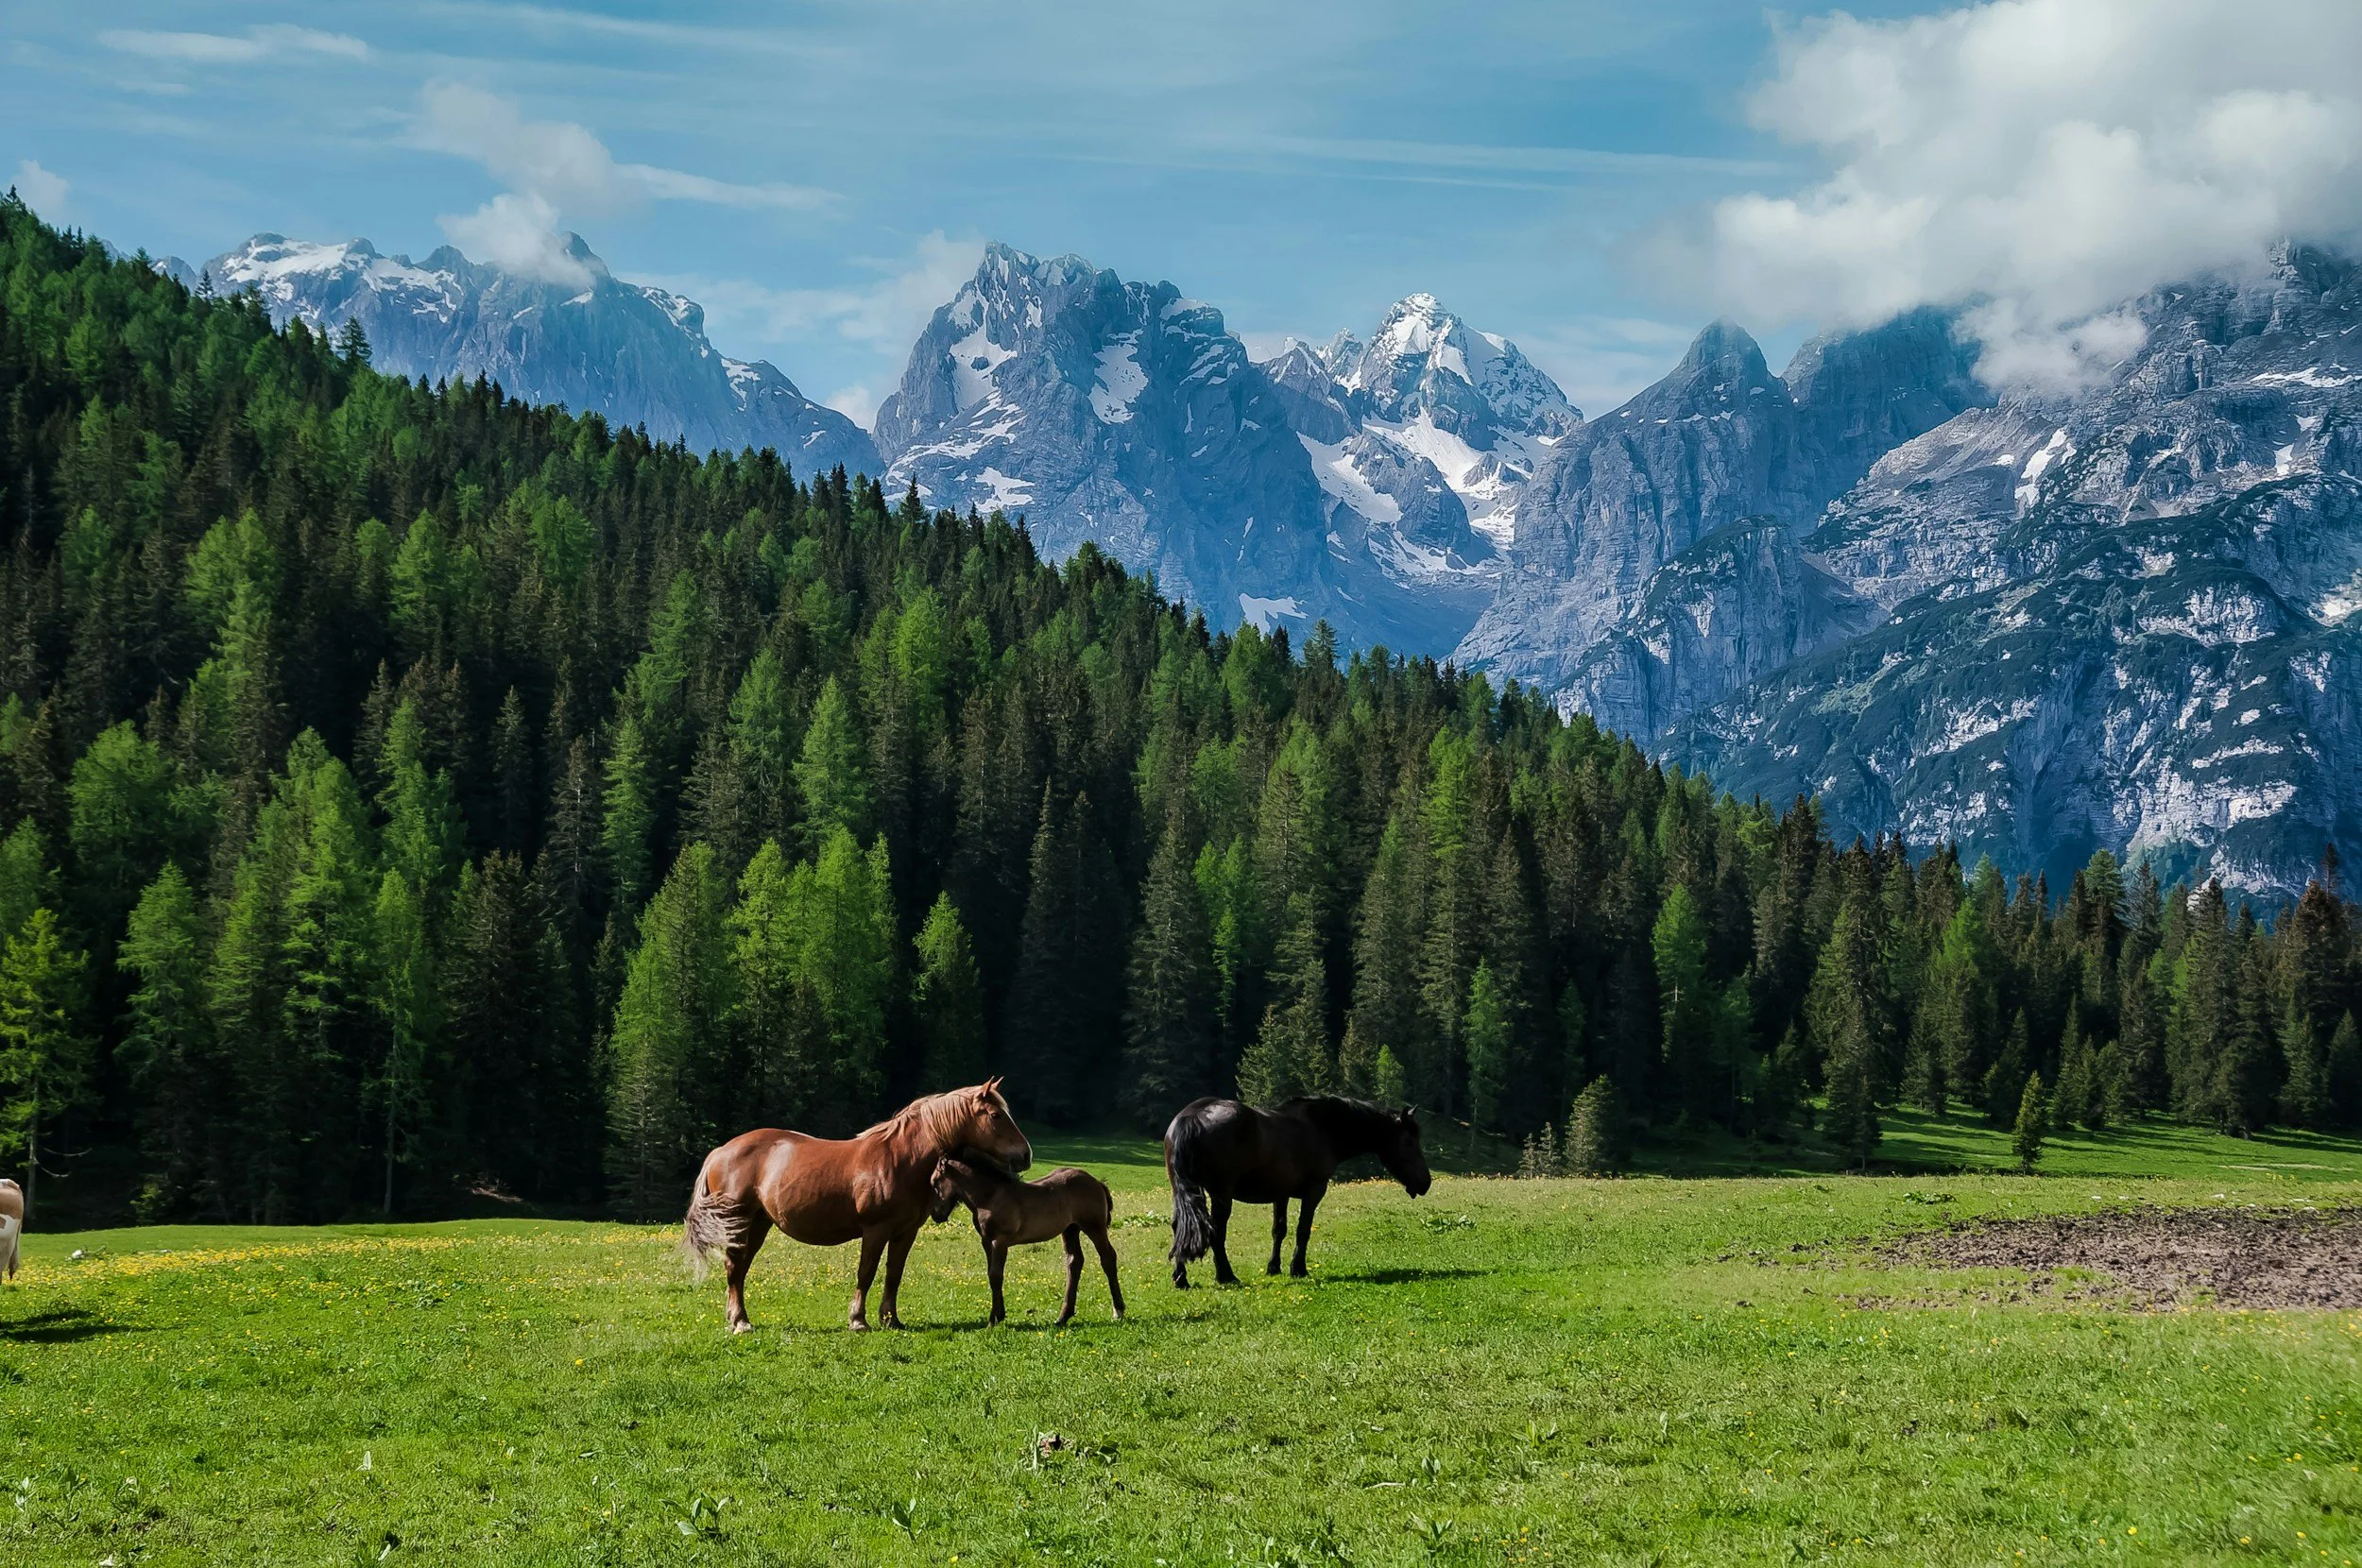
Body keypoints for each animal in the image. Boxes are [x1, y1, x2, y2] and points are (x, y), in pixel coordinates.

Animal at [681, 1079, 1033, 1333]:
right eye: (997, 1116)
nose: (1025, 1155)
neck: (901, 1159)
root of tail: (721, 1151)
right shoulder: (876, 1230)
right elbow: (866, 1273)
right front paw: (858, 1320)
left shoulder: (905, 1233)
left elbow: (894, 1274)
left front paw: (891, 1319)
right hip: (739, 1222)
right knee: (734, 1269)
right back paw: (740, 1322)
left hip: (758, 1224)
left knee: (739, 1270)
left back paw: (737, 1319)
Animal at [928, 1155, 1124, 1327]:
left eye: (935, 1182)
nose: (936, 1215)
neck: (991, 1196)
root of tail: (1096, 1182)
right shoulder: (986, 1242)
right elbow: (991, 1275)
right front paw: (999, 1315)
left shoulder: (999, 1241)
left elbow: (995, 1275)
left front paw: (993, 1320)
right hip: (1070, 1230)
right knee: (1074, 1261)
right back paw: (1062, 1317)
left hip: (1094, 1227)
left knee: (1108, 1258)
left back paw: (1118, 1311)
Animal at [1164, 1096, 1431, 1287]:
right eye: (1408, 1142)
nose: (1425, 1182)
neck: (1324, 1128)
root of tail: (1190, 1116)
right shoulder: (1315, 1191)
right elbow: (1303, 1230)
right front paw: (1298, 1269)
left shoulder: (1280, 1194)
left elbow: (1279, 1230)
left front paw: (1274, 1268)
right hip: (1221, 1194)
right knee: (1217, 1231)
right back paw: (1226, 1276)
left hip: (1182, 1191)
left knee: (1179, 1226)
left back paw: (1181, 1278)